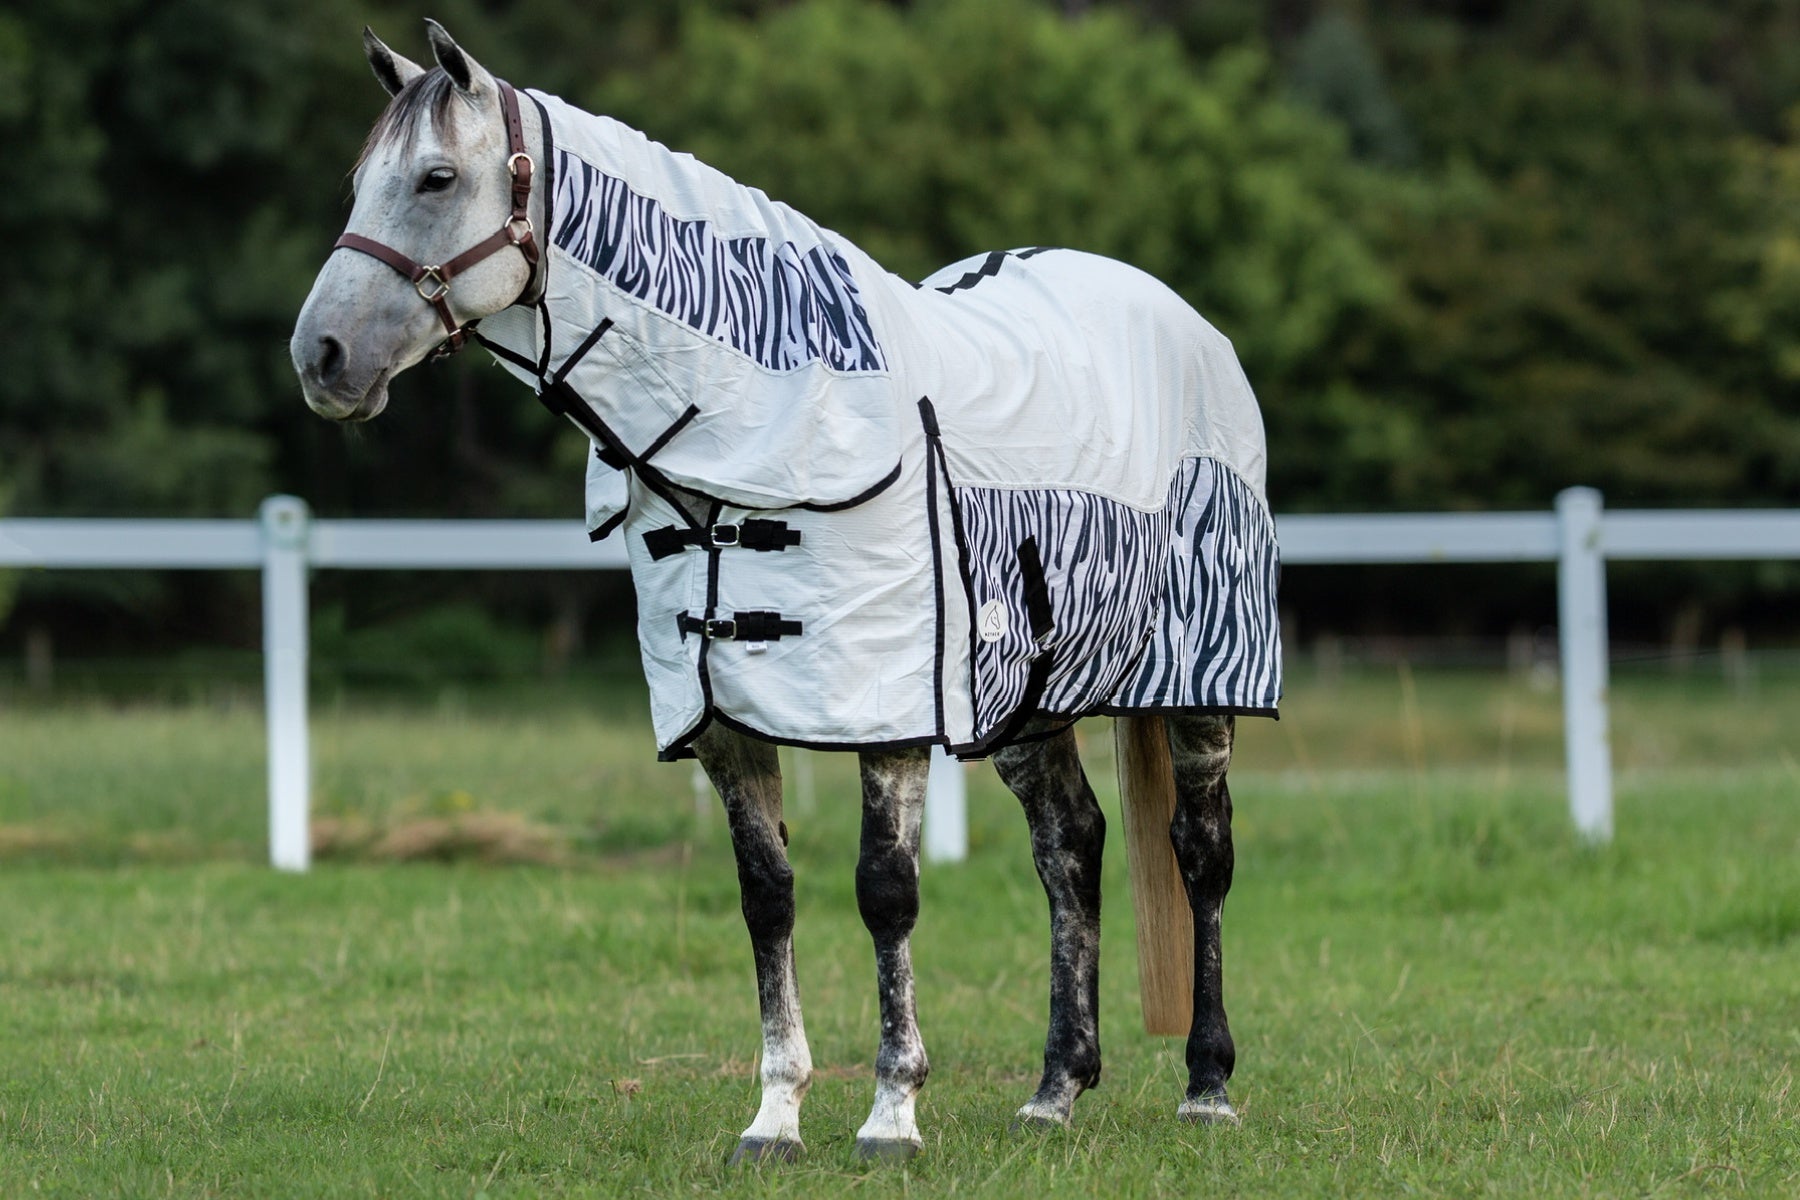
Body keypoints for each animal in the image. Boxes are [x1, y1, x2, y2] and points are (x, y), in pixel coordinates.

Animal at [290, 21, 1281, 1163]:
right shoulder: (722, 717)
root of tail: (1185, 326)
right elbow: (767, 900)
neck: (756, 428)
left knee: (1201, 854)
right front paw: (775, 1114)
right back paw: (1054, 1090)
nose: (320, 356)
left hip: (1203, 678)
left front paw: (892, 1111)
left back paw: (1207, 1084)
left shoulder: (885, 711)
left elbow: (885, 895)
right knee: (1069, 851)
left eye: (438, 178)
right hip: (1029, 698)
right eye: (360, 182)